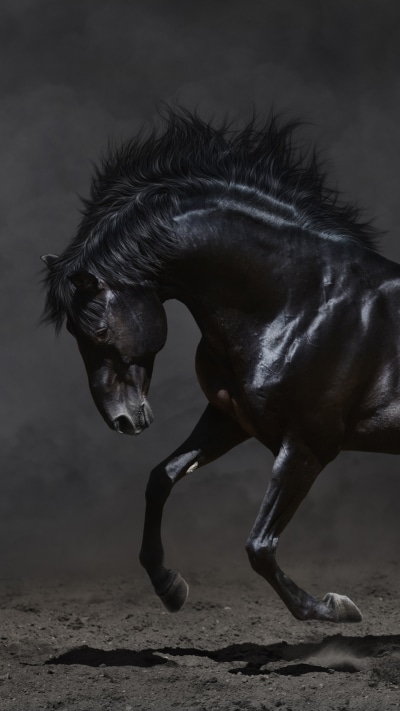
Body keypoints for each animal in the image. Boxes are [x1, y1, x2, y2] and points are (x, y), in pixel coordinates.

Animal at [42, 109, 398, 624]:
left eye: (99, 330)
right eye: (73, 333)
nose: (122, 420)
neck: (302, 302)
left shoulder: (307, 445)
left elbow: (260, 546)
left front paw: (333, 608)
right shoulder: (231, 418)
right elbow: (162, 478)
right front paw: (169, 586)